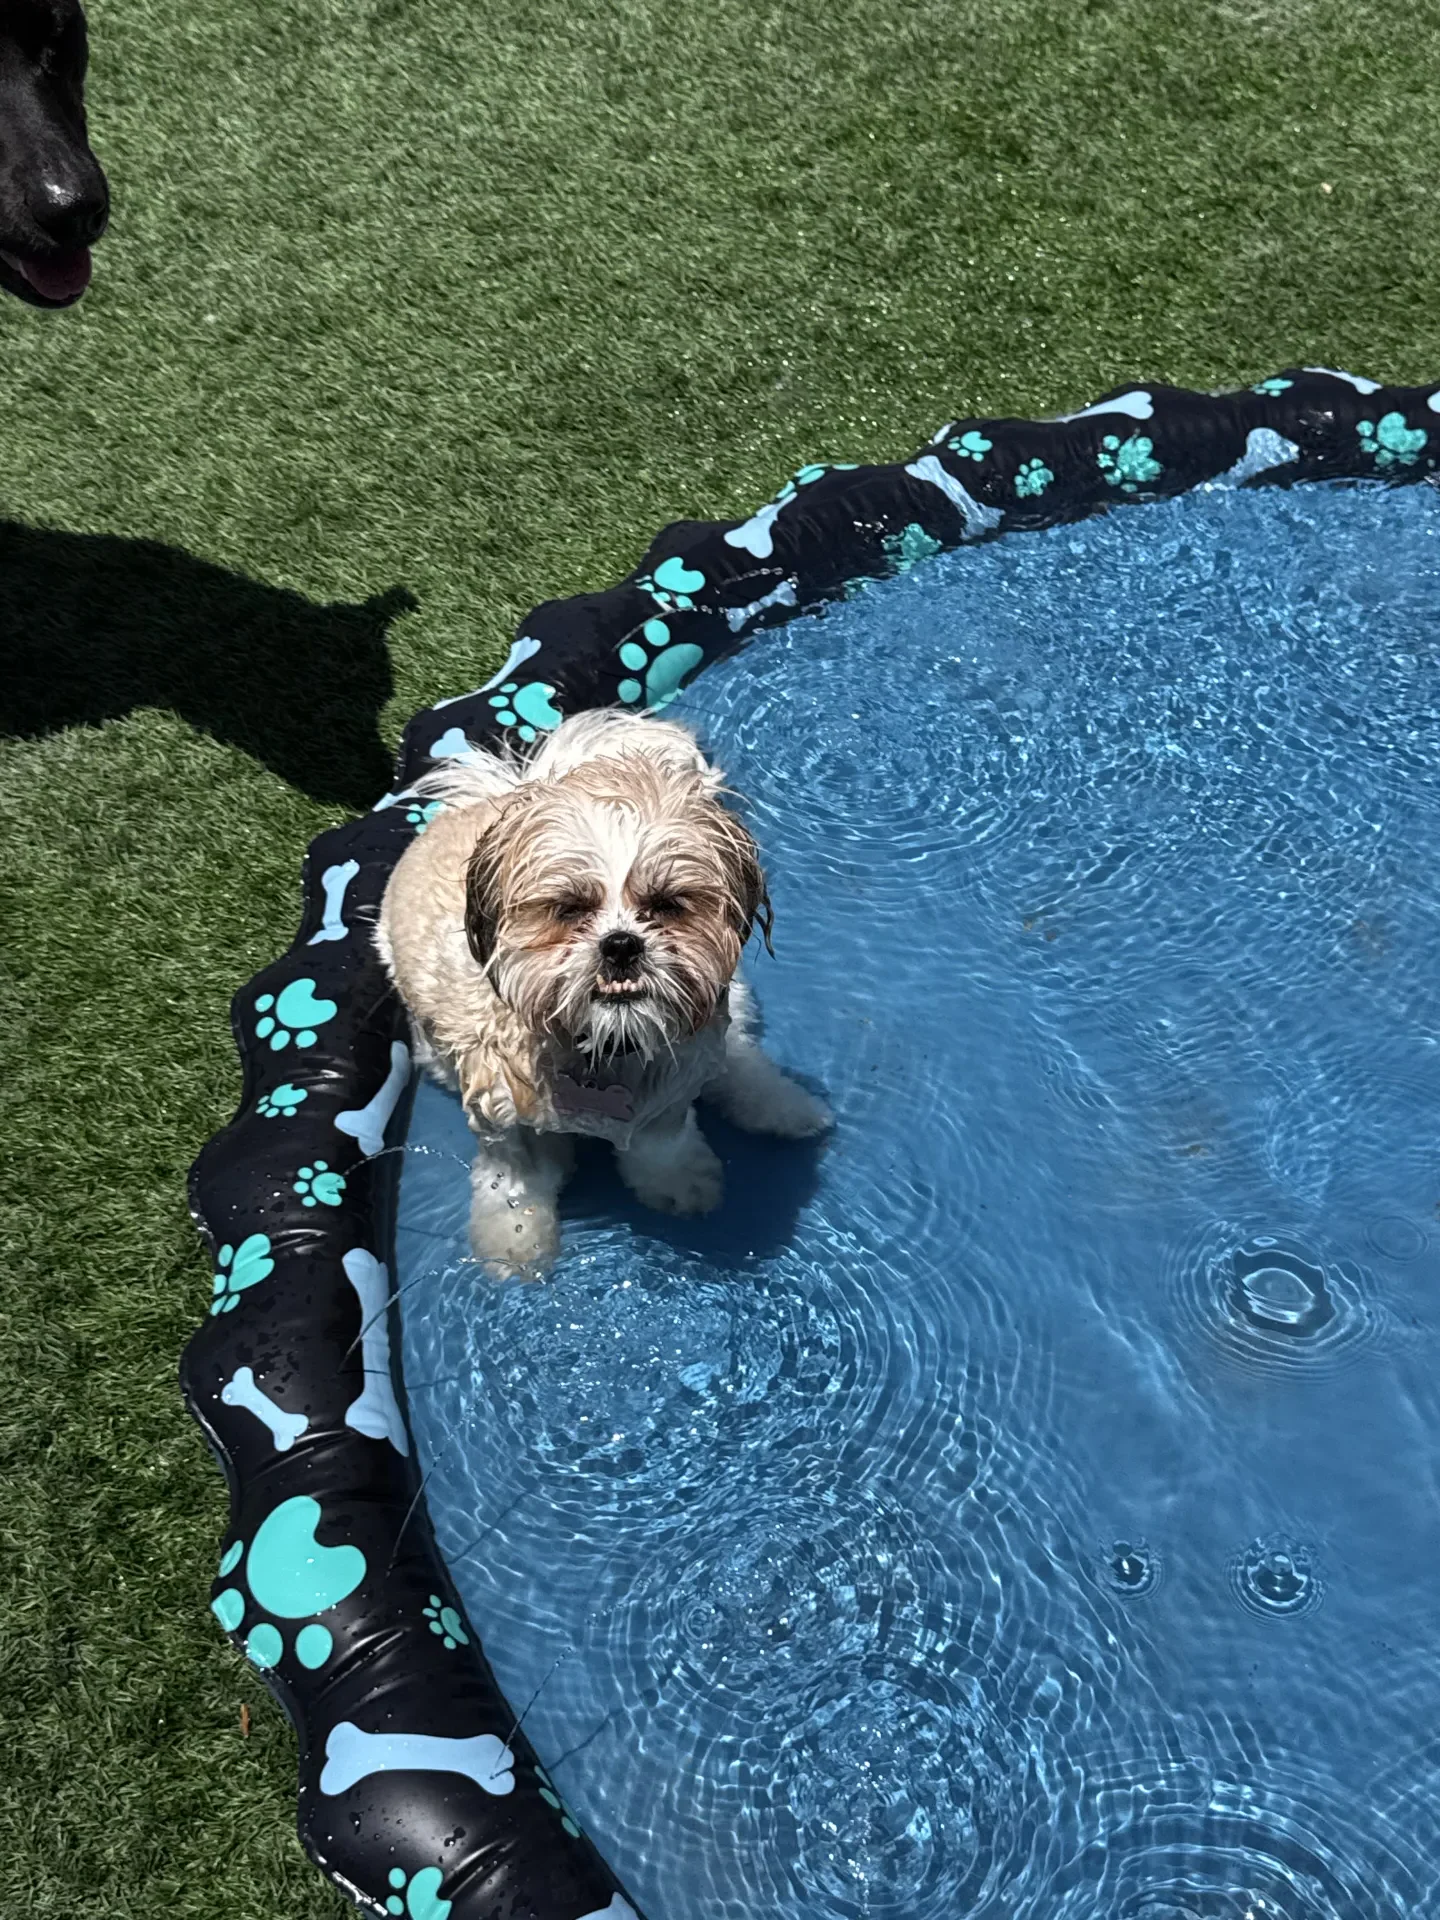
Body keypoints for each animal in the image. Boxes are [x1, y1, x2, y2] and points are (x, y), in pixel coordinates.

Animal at [378, 709, 831, 1274]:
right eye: (569, 909)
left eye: (667, 905)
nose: (620, 944)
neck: (604, 1047)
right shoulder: (499, 1107)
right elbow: (514, 1178)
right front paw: (516, 1239)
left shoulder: (672, 1085)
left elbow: (662, 1144)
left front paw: (680, 1183)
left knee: (738, 1059)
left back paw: (784, 1108)